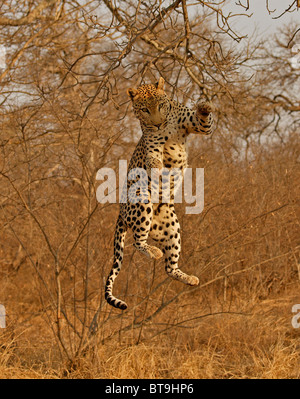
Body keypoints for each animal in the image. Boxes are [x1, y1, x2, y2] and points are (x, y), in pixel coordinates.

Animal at [105, 76, 213, 310]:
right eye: (145, 109)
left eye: (161, 105)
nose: (157, 123)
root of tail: (120, 213)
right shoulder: (153, 146)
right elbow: (154, 161)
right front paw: (160, 173)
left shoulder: (198, 126)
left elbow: (204, 121)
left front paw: (205, 106)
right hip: (142, 204)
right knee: (137, 242)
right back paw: (154, 252)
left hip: (171, 228)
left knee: (169, 268)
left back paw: (190, 278)